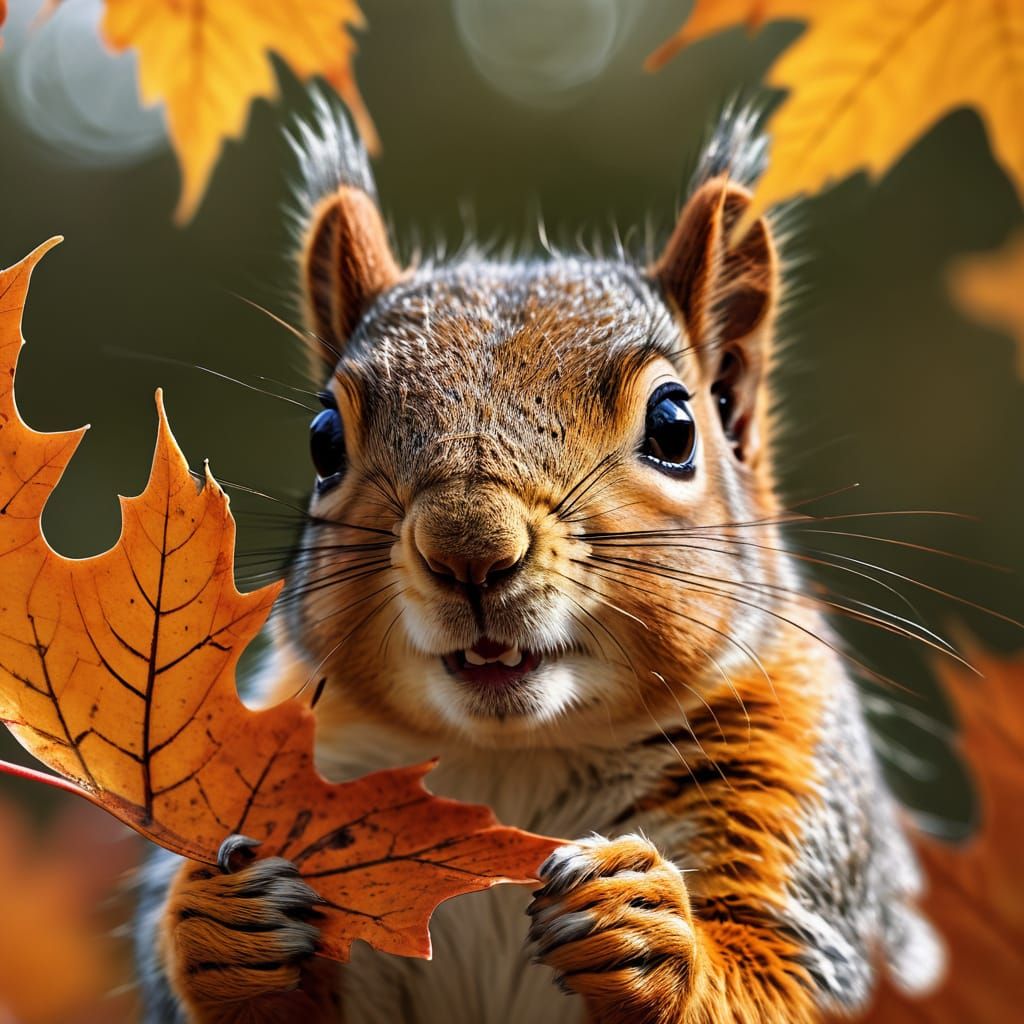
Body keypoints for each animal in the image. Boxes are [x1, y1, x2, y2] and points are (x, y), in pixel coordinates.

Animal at [135, 94, 944, 1024]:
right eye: (323, 440)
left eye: (675, 426)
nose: (470, 548)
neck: (511, 764)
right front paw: (225, 921)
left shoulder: (801, 800)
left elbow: (783, 983)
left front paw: (647, 931)